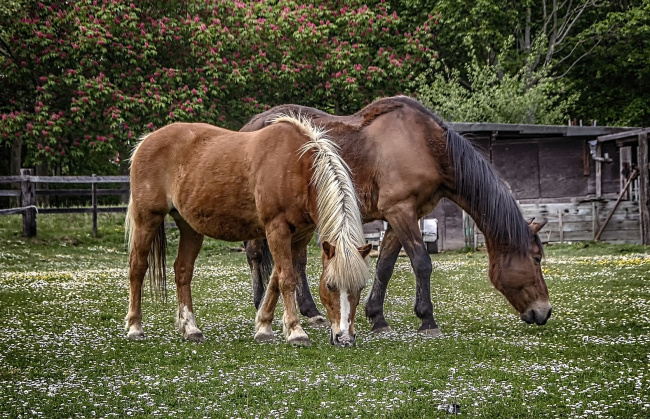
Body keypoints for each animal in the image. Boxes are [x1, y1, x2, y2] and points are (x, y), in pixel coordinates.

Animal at [123, 116, 370, 346]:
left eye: (360, 287)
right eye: (330, 285)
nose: (344, 338)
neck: (299, 168)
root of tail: (147, 140)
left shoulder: (300, 235)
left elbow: (275, 280)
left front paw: (264, 327)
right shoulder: (277, 229)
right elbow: (287, 279)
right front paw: (296, 331)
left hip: (189, 227)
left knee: (183, 271)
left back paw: (190, 329)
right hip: (147, 219)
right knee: (137, 267)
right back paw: (135, 327)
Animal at [240, 97, 548, 336]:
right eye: (536, 259)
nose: (544, 312)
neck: (426, 145)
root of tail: (249, 126)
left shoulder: (400, 215)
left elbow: (385, 266)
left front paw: (377, 317)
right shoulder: (401, 211)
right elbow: (422, 263)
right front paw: (427, 320)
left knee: (295, 261)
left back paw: (310, 311)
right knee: (257, 255)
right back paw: (261, 303)